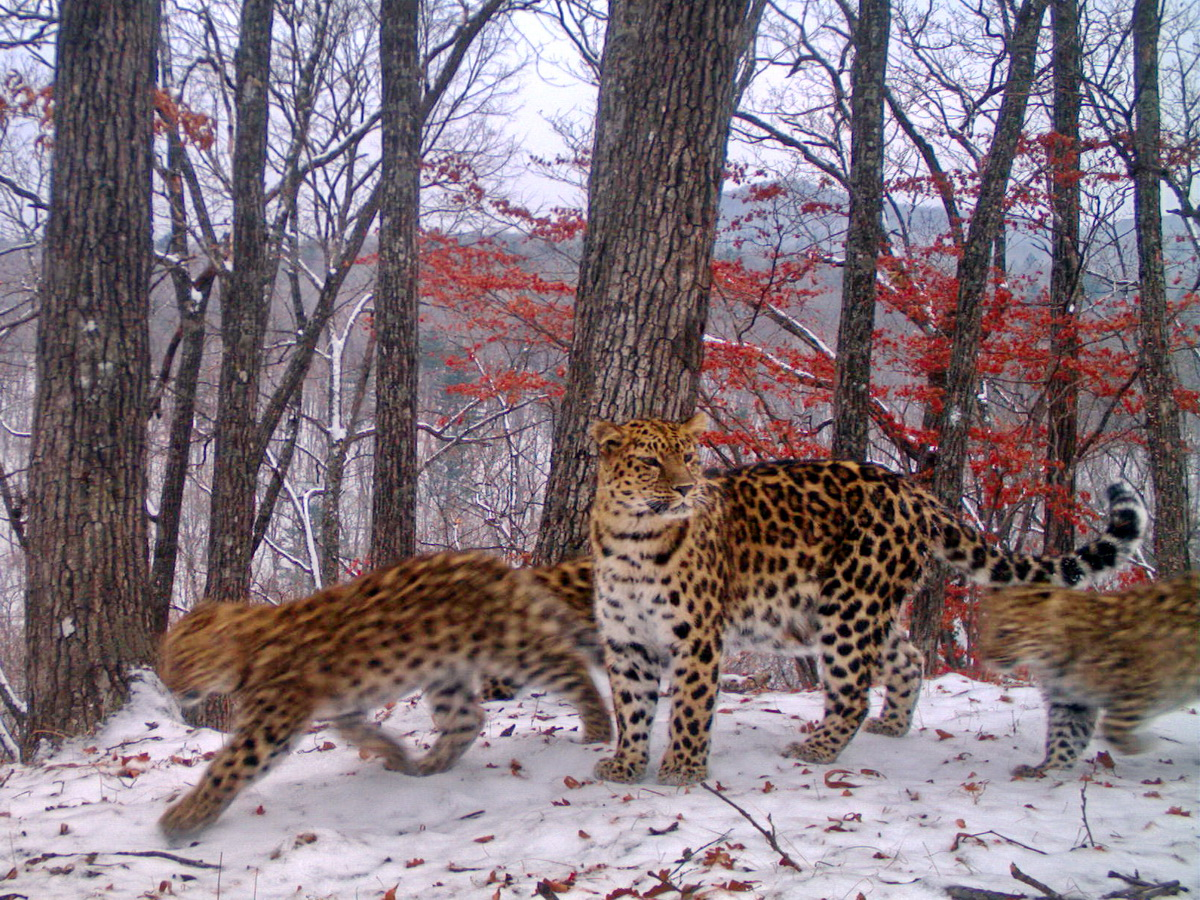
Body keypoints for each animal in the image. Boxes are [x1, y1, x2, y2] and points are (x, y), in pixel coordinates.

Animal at [157, 549, 609, 844]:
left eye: (184, 659)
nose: (168, 684)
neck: (249, 649)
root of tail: (497, 565)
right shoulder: (343, 706)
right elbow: (356, 732)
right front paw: (395, 754)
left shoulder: (270, 725)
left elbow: (227, 768)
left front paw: (182, 820)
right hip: (445, 671)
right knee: (467, 720)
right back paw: (429, 766)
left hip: (511, 647)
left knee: (570, 665)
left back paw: (598, 728)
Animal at [588, 412, 1142, 787]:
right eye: (650, 462)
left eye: (688, 457)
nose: (685, 489)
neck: (633, 540)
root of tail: (913, 490)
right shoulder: (626, 640)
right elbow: (631, 706)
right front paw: (627, 764)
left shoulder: (698, 636)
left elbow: (690, 704)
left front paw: (683, 768)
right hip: (857, 606)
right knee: (909, 656)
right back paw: (892, 725)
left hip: (850, 605)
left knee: (852, 692)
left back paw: (816, 748)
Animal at [979, 571, 1195, 777]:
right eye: (985, 627)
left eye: (1004, 633)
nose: (985, 656)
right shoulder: (1071, 703)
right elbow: (1064, 737)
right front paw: (1048, 769)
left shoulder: (1146, 683)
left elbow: (1112, 726)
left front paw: (1142, 745)